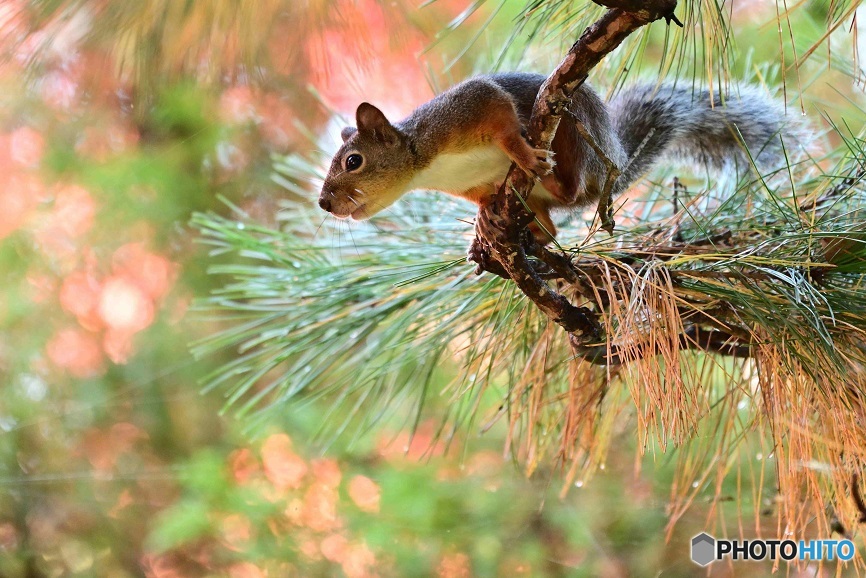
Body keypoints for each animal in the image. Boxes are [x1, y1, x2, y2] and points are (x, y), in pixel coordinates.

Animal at [320, 72, 800, 241]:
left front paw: (522, 152)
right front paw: (482, 216)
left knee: (569, 188)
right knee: (550, 226)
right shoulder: (469, 182)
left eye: (353, 161)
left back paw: (549, 172)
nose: (324, 203)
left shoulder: (471, 105)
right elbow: (481, 195)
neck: (426, 163)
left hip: (577, 134)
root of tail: (615, 161)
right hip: (537, 201)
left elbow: (504, 125)